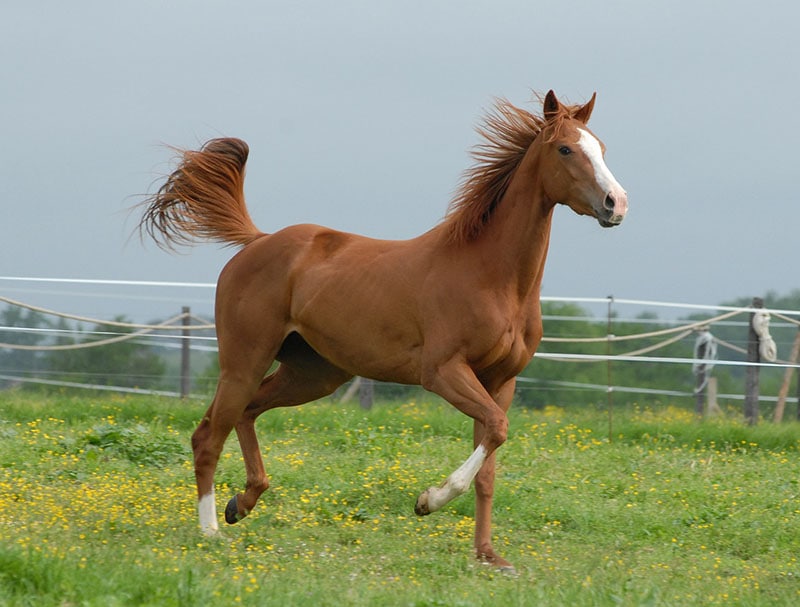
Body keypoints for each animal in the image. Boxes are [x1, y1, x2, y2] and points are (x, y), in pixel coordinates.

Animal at [138, 89, 627, 572]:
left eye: (601, 148)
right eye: (565, 149)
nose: (616, 203)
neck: (492, 276)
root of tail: (257, 241)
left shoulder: (500, 381)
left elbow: (490, 460)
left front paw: (489, 555)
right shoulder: (443, 372)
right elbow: (496, 430)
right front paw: (428, 501)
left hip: (312, 374)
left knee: (246, 413)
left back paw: (241, 503)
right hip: (245, 360)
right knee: (208, 435)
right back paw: (210, 531)